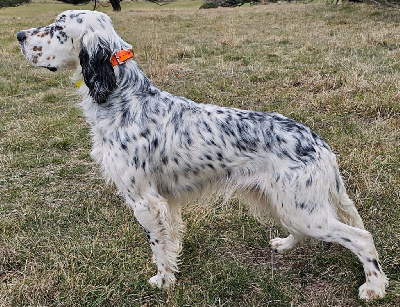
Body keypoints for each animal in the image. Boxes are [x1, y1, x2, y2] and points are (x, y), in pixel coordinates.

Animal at [16, 10, 388, 300]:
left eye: (59, 27)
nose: (18, 35)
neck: (124, 99)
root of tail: (320, 142)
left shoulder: (144, 201)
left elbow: (157, 246)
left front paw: (163, 281)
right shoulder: (166, 201)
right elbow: (171, 238)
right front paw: (174, 266)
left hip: (302, 208)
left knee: (362, 237)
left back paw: (374, 287)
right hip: (286, 204)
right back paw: (284, 244)